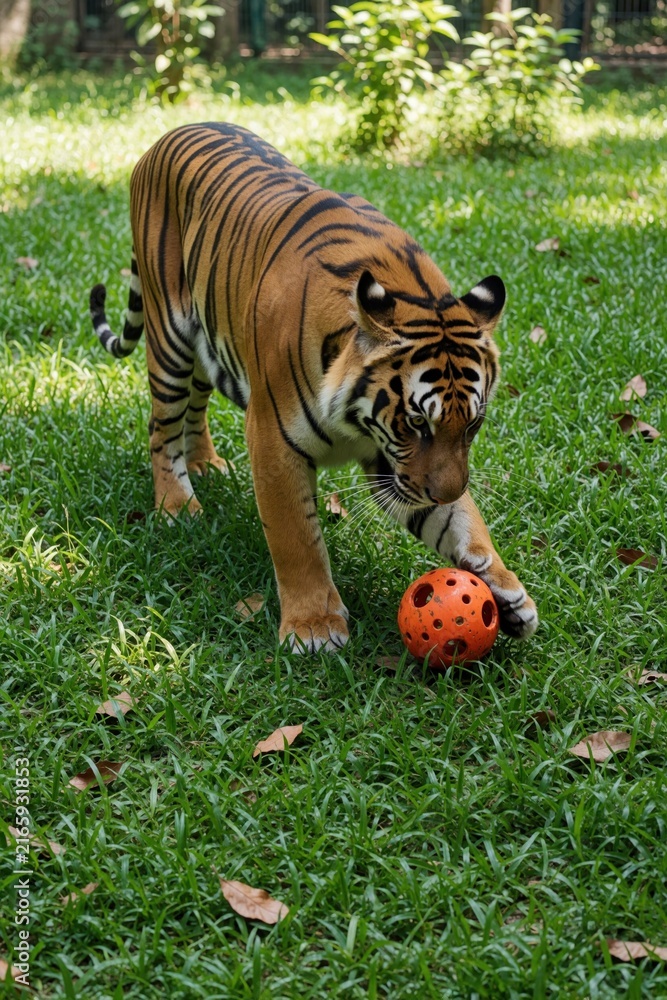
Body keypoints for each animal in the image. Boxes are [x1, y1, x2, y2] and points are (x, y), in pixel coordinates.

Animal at [89, 122, 538, 653]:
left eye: (472, 425)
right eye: (415, 423)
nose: (443, 492)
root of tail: (171, 132)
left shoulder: (394, 465)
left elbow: (461, 521)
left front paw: (506, 591)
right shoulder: (274, 440)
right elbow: (296, 538)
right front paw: (313, 627)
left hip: (206, 343)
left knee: (193, 409)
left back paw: (205, 464)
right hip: (169, 338)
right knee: (162, 426)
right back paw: (177, 505)